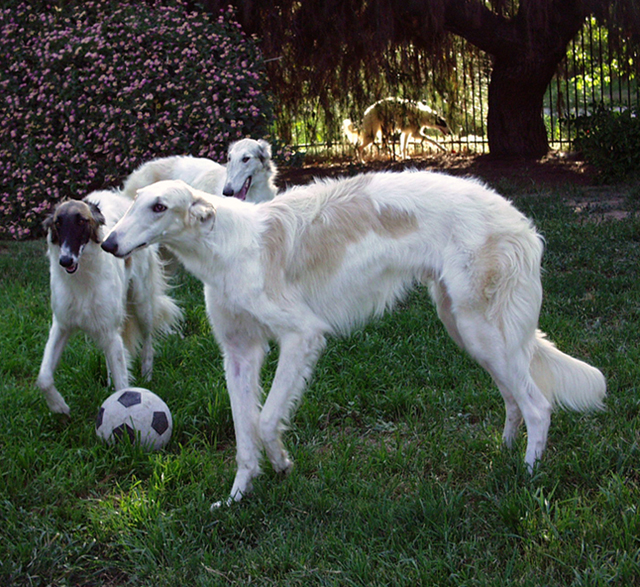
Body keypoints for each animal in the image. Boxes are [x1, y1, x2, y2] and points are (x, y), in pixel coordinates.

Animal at [37, 191, 182, 416]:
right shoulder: (62, 325)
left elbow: (124, 388)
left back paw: (147, 375)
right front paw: (59, 406)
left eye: (81, 221)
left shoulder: (111, 330)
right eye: (57, 223)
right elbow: (43, 378)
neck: (82, 280)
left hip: (141, 304)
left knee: (147, 342)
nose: (65, 260)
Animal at [102, 172, 608, 508]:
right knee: (513, 398)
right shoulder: (239, 352)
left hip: (483, 329)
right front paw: (237, 498)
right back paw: (504, 454)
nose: (107, 244)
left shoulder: (302, 335)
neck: (227, 245)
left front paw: (282, 464)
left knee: (538, 404)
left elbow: (265, 421)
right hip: (468, 330)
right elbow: (244, 435)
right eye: (133, 202)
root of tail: (520, 221)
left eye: (159, 207)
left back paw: (527, 476)